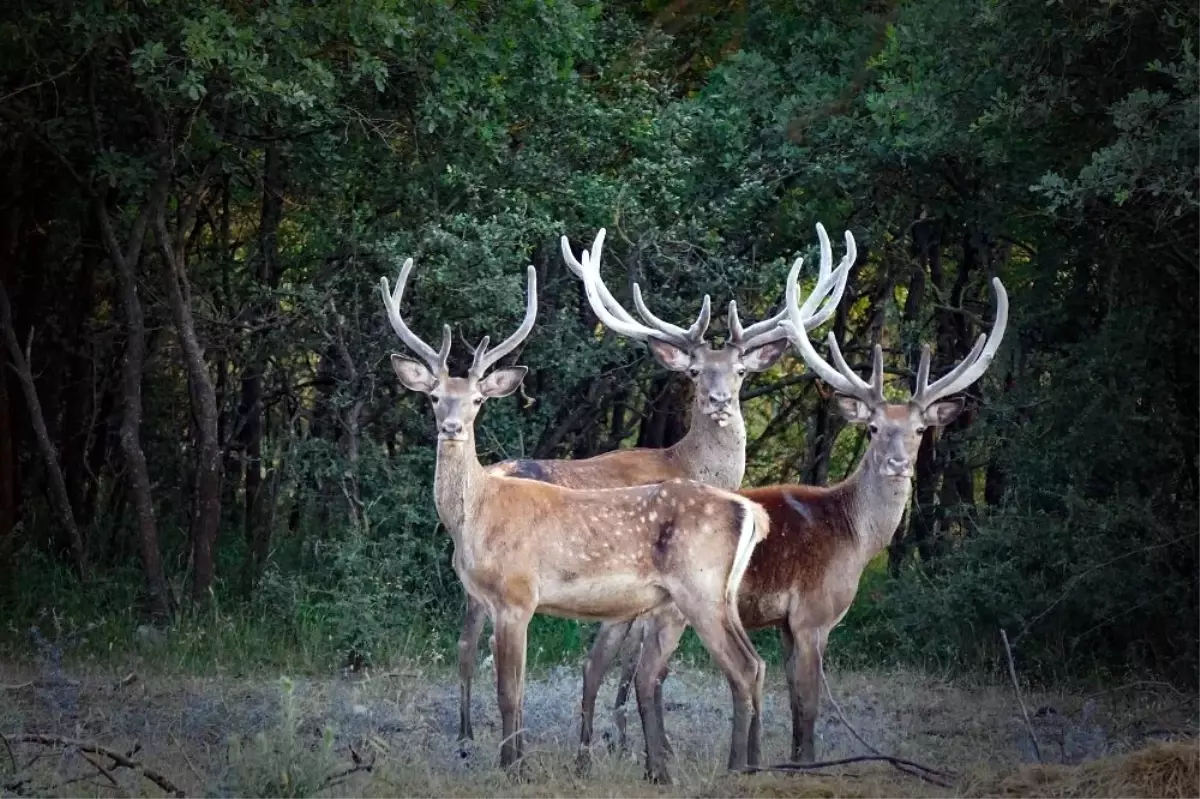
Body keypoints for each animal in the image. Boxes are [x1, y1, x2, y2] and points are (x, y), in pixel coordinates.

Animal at [381, 257, 777, 782]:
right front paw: (517, 759)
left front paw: (514, 767)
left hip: (700, 588)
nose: (451, 427)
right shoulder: (491, 599)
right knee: (754, 663)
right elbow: (514, 686)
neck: (478, 516)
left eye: (478, 400)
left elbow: (509, 691)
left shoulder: (517, 595)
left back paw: (736, 766)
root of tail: (750, 510)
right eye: (433, 397)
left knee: (741, 667)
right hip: (716, 595)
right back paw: (746, 762)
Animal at [453, 220, 859, 758]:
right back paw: (469, 737)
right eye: (694, 371)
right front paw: (628, 741)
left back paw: (466, 733)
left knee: (465, 640)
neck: (683, 461)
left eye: (740, 370)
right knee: (472, 641)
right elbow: (631, 666)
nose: (719, 400)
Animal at [576, 257, 1008, 763]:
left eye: (920, 429)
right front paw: (802, 763)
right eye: (874, 427)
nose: (899, 463)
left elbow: (792, 700)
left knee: (601, 665)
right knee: (636, 671)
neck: (854, 535)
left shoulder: (785, 624)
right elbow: (807, 704)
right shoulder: (813, 616)